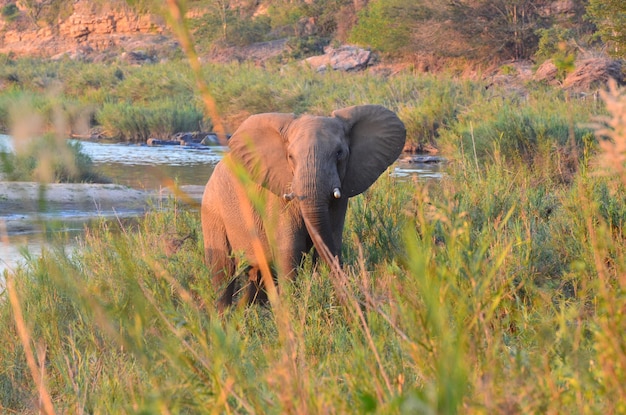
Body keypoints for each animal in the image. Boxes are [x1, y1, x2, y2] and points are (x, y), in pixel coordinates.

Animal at [200, 105, 404, 310]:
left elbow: (330, 242)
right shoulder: (277, 196)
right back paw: (224, 315)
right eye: (290, 156)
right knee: (223, 270)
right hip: (212, 210)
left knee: (258, 275)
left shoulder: (341, 196)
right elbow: (290, 250)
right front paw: (289, 308)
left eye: (339, 153)